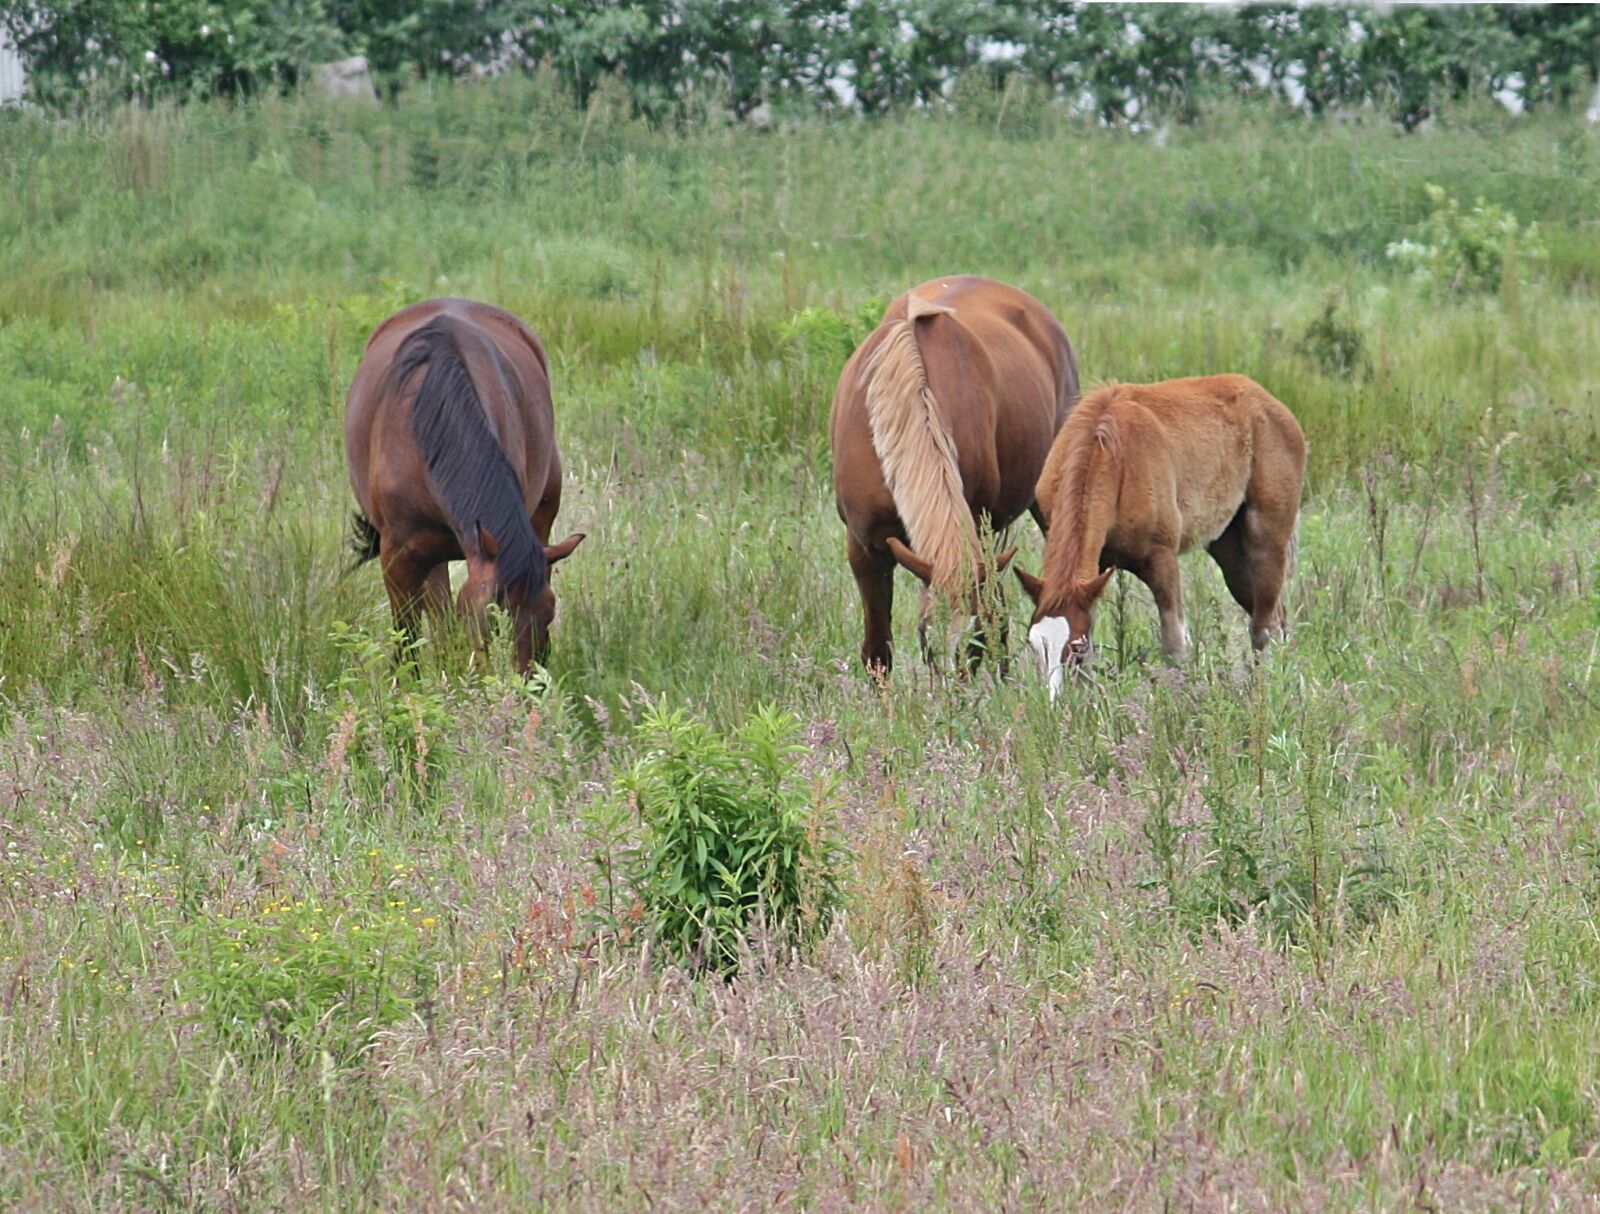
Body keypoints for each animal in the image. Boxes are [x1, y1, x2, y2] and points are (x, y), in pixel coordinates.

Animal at [830, 275, 1079, 675]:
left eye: (973, 643)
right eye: (924, 635)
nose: (950, 688)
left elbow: (995, 617)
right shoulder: (865, 548)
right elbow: (878, 651)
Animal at [1013, 374, 1306, 697]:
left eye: (1074, 648)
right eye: (1034, 645)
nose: (1055, 701)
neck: (1114, 455)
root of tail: (1269, 402)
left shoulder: (1161, 557)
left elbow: (1175, 645)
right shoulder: (1094, 567)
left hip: (1267, 536)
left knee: (1265, 627)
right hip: (1229, 548)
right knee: (1275, 618)